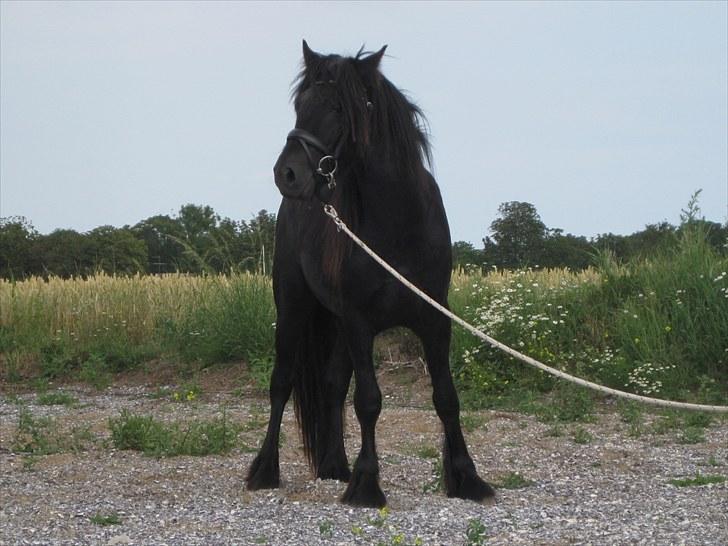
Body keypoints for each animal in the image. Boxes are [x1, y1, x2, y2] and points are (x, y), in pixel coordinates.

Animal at [246, 41, 495, 508]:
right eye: (299, 105)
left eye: (339, 108)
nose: (287, 173)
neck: (398, 224)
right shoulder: (360, 322)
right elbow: (369, 400)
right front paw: (366, 483)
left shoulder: (435, 320)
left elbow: (446, 397)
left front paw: (466, 477)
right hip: (293, 308)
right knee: (282, 383)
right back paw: (265, 470)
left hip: (337, 324)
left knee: (331, 384)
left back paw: (333, 465)